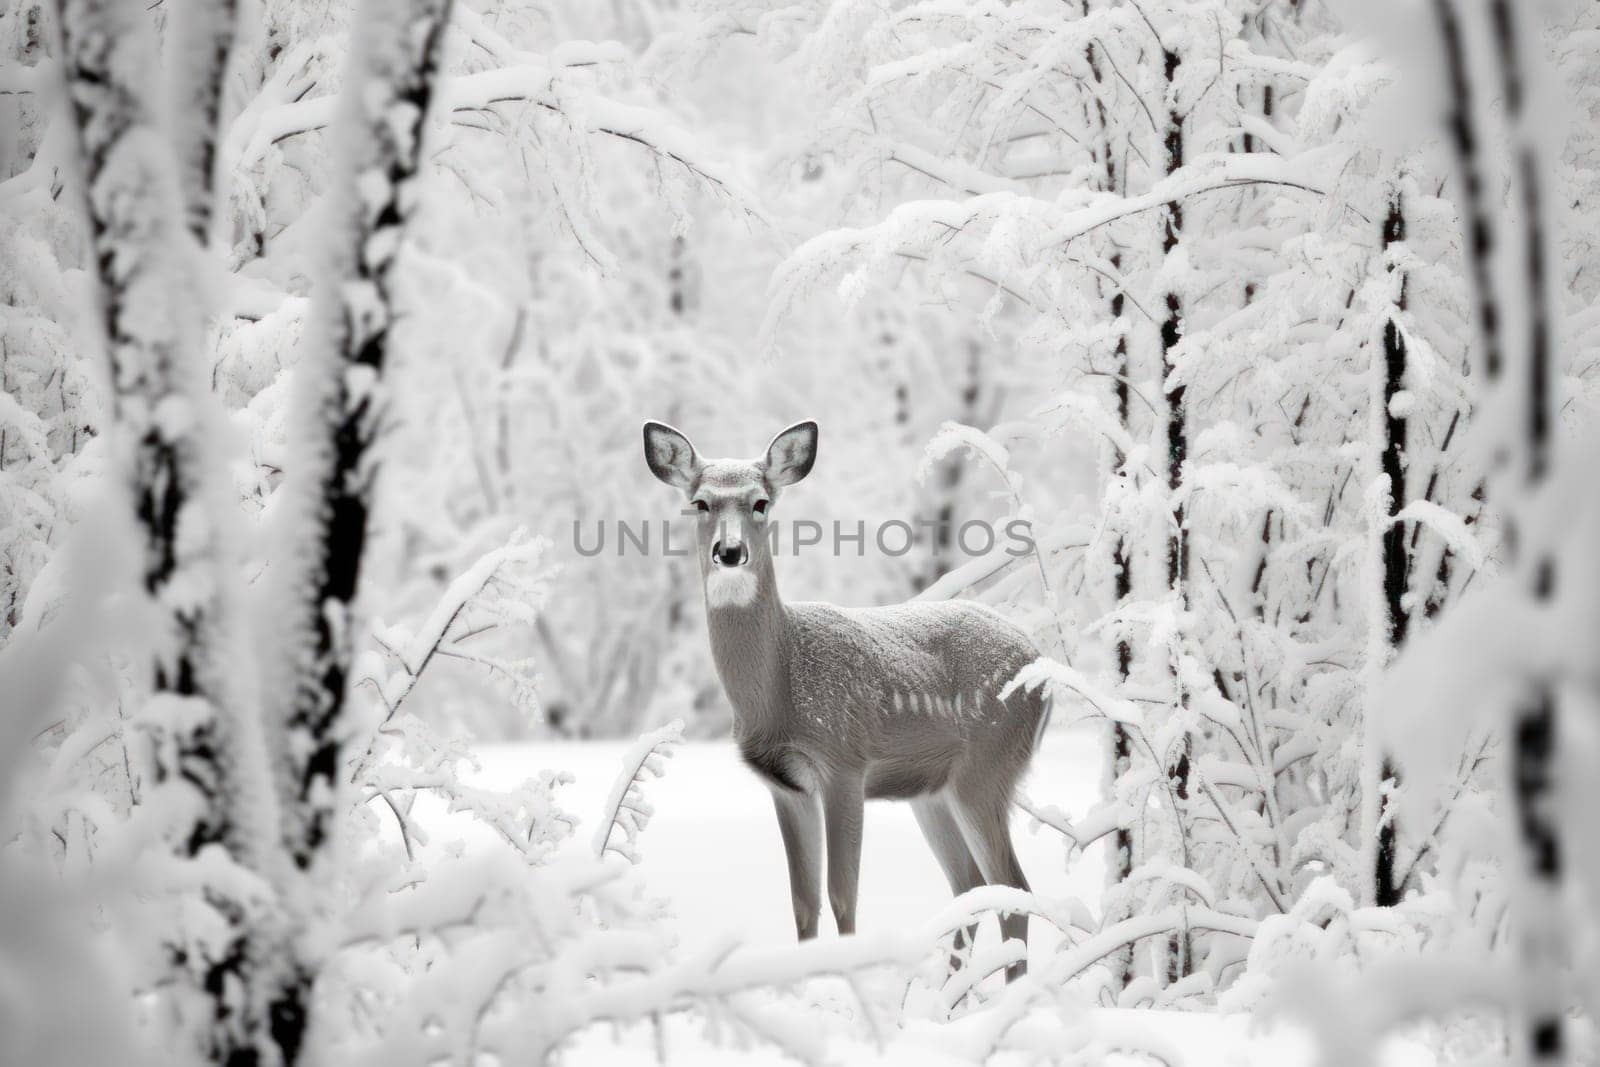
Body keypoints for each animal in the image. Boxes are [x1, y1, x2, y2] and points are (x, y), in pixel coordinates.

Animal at [643, 415, 1043, 979]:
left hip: (988, 767)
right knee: (970, 887)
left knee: (1013, 889)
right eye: (700, 502)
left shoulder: (845, 765)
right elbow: (804, 904)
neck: (780, 687)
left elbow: (842, 897)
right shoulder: (787, 787)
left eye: (761, 502)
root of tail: (1040, 660)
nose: (730, 552)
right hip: (934, 792)